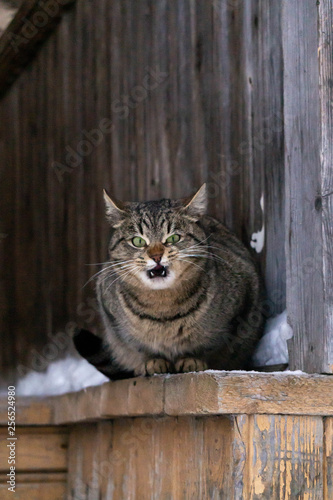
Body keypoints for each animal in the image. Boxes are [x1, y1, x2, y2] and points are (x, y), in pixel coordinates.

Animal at [74, 185, 264, 378]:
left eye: (173, 238)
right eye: (138, 241)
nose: (156, 255)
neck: (163, 307)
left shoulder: (240, 309)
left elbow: (212, 347)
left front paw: (192, 359)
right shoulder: (113, 318)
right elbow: (137, 347)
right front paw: (152, 362)